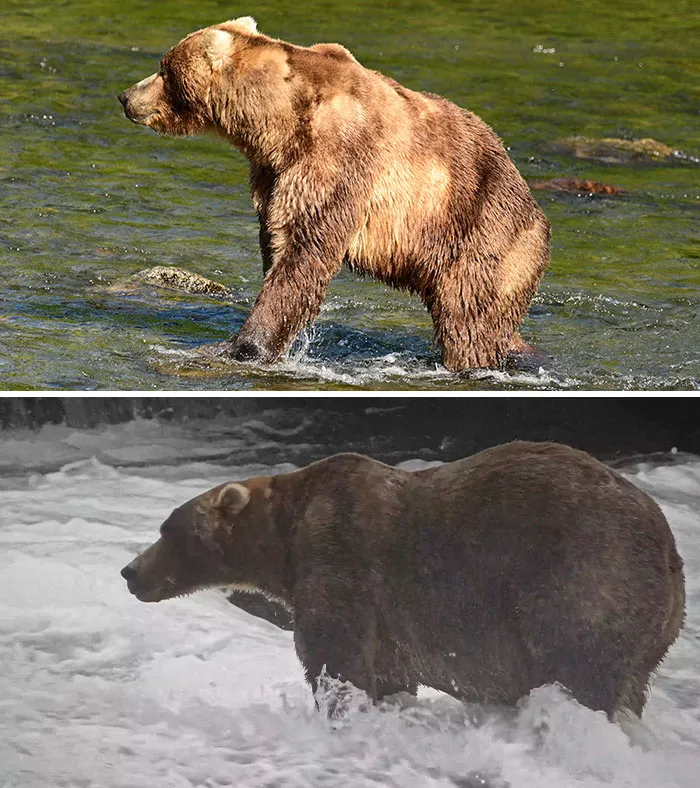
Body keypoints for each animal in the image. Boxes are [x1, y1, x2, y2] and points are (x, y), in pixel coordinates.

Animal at [118, 17, 550, 371]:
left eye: (163, 69)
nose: (125, 96)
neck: (274, 125)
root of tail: (536, 210)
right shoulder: (274, 174)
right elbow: (278, 240)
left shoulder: (337, 158)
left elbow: (306, 250)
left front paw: (242, 346)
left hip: (479, 229)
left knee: (468, 316)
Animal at [120, 441, 685, 719]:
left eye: (168, 530)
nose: (130, 571)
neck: (285, 539)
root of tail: (670, 549)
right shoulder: (390, 623)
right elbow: (389, 673)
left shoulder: (341, 557)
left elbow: (335, 655)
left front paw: (338, 710)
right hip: (652, 627)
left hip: (581, 577)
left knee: (582, 667)